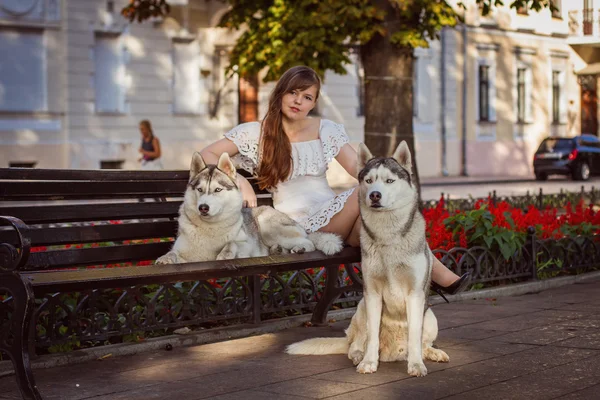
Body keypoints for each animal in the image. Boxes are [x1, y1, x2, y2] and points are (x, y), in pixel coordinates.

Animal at [155, 152, 342, 264]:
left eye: (217, 190)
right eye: (200, 190)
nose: (203, 207)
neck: (210, 229)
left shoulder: (246, 246)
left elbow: (232, 243)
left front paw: (224, 255)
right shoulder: (185, 254)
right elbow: (173, 253)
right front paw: (165, 258)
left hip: (268, 226)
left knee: (308, 242)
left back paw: (298, 248)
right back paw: (278, 250)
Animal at [286, 141, 450, 378]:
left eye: (389, 181)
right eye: (369, 180)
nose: (374, 195)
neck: (388, 237)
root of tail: (393, 353)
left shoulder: (415, 294)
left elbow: (415, 337)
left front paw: (417, 365)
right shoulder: (372, 293)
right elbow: (372, 336)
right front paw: (369, 362)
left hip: (430, 316)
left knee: (422, 342)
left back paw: (432, 353)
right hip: (361, 308)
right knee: (355, 343)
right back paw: (358, 355)